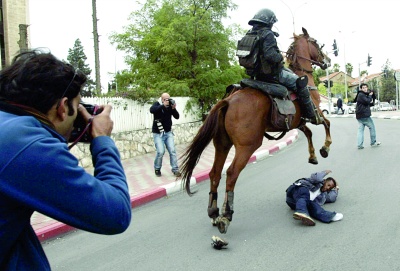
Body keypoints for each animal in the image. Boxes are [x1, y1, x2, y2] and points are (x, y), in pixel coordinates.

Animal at [180, 28, 330, 236]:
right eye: (315, 43)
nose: (327, 61)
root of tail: (228, 101)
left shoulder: (297, 123)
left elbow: (308, 132)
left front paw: (313, 156)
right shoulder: (315, 113)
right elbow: (326, 123)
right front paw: (325, 148)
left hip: (222, 144)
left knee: (215, 173)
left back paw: (214, 212)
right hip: (247, 146)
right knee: (231, 173)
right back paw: (226, 215)